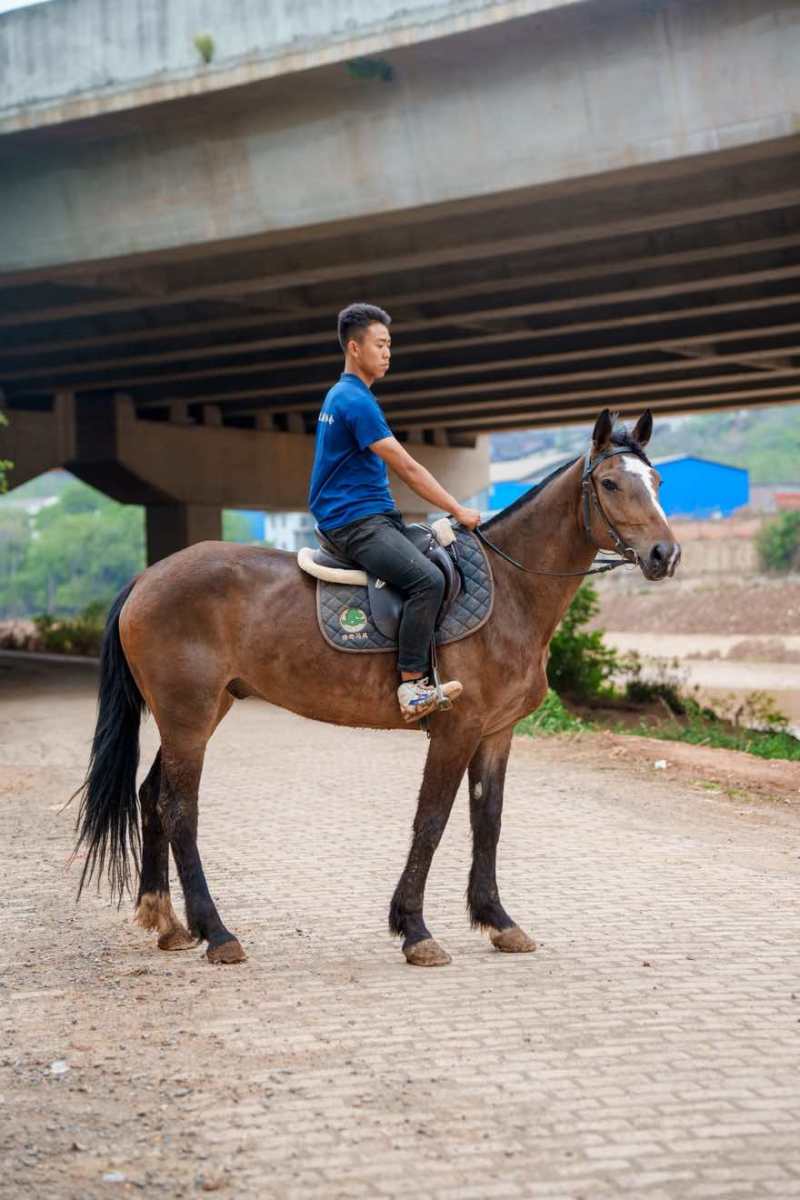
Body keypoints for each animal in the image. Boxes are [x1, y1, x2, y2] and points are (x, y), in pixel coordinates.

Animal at [73, 408, 680, 967]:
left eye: (656, 481)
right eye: (610, 483)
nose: (665, 555)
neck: (512, 587)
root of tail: (147, 577)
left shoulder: (496, 732)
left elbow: (488, 821)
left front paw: (498, 921)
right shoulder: (457, 730)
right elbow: (431, 820)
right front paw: (415, 929)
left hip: (194, 717)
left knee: (152, 796)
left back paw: (167, 921)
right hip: (189, 717)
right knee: (180, 810)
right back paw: (216, 933)